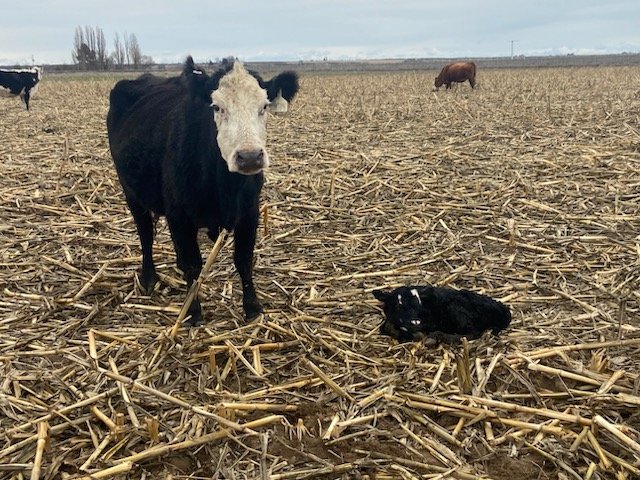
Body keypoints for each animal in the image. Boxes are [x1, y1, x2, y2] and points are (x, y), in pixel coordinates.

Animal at [107, 56, 299, 326]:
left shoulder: (249, 212)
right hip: (132, 194)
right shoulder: (179, 215)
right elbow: (193, 265)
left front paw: (252, 307)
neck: (224, 187)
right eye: (216, 107)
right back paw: (148, 279)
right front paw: (193, 312)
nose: (249, 157)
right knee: (145, 235)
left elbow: (244, 260)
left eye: (264, 107)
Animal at [373, 285, 510, 343]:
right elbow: (385, 326)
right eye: (397, 305)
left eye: (419, 303)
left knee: (471, 334)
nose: (415, 323)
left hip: (457, 310)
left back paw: (437, 337)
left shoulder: (430, 323)